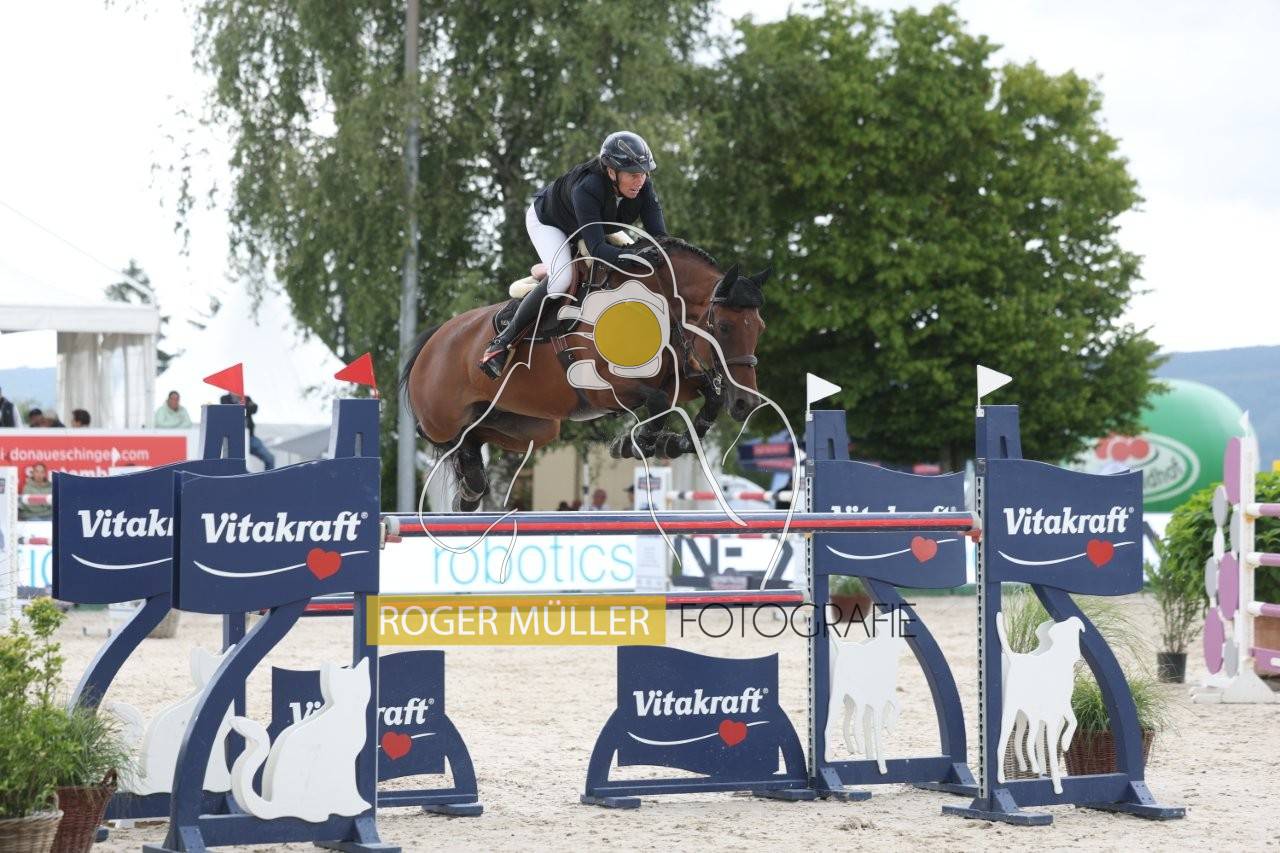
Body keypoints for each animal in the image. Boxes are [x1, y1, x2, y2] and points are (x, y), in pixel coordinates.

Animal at [229, 657, 373, 823]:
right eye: (342, 686)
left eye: (358, 684)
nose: (353, 694)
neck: (346, 711)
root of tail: (275, 804)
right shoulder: (345, 761)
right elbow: (349, 787)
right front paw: (353, 808)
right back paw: (319, 815)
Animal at [399, 236, 770, 510]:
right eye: (724, 326)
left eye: (760, 328)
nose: (747, 405)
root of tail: (433, 339)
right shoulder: (606, 389)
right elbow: (659, 402)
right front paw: (632, 444)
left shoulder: (681, 378)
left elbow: (709, 398)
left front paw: (671, 442)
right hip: (441, 416)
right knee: (437, 432)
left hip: (535, 427)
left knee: (476, 432)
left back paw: (472, 486)